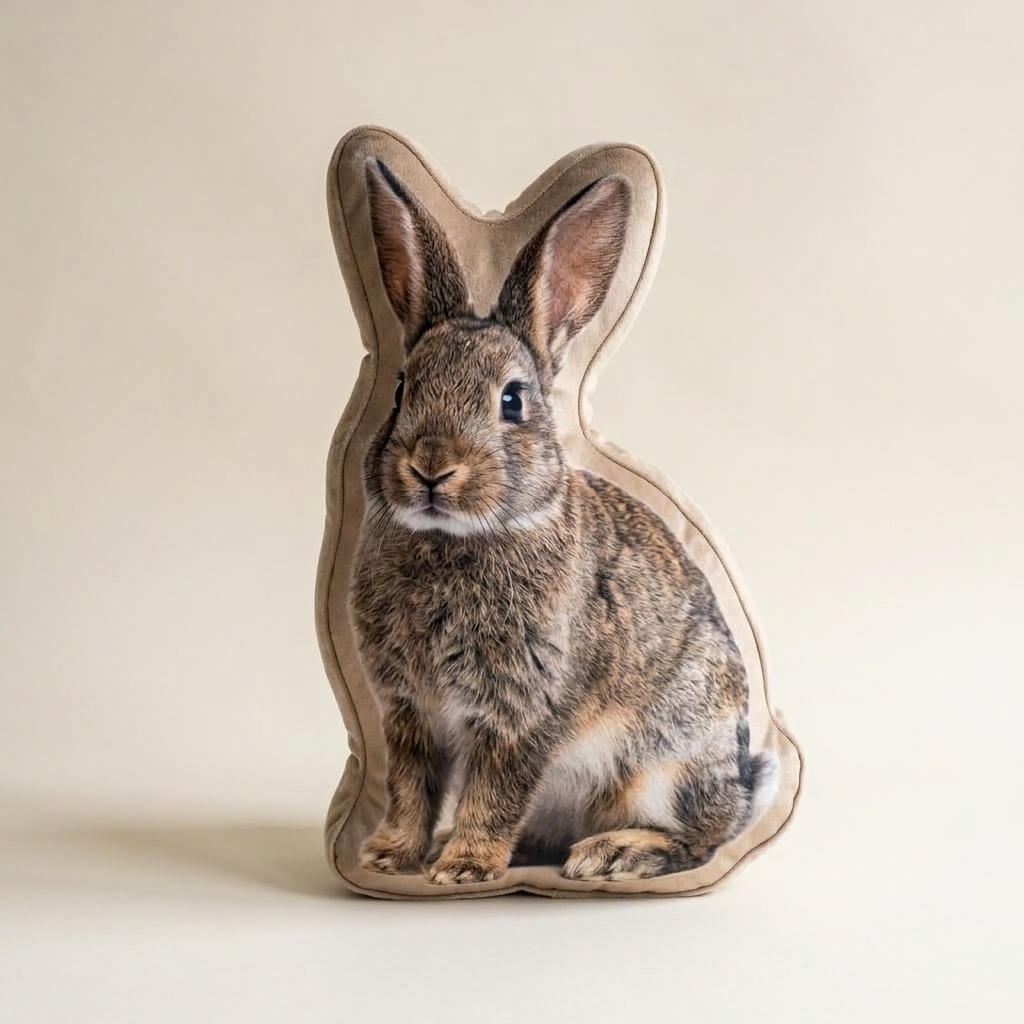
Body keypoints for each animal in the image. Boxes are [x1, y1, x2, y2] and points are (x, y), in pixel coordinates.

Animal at [350, 157, 779, 884]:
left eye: (512, 401)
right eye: (403, 388)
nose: (431, 467)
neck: (454, 539)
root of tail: (741, 787)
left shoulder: (526, 707)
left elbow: (495, 790)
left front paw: (464, 867)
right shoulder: (410, 710)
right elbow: (412, 788)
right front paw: (390, 855)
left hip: (666, 766)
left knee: (698, 840)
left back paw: (615, 853)